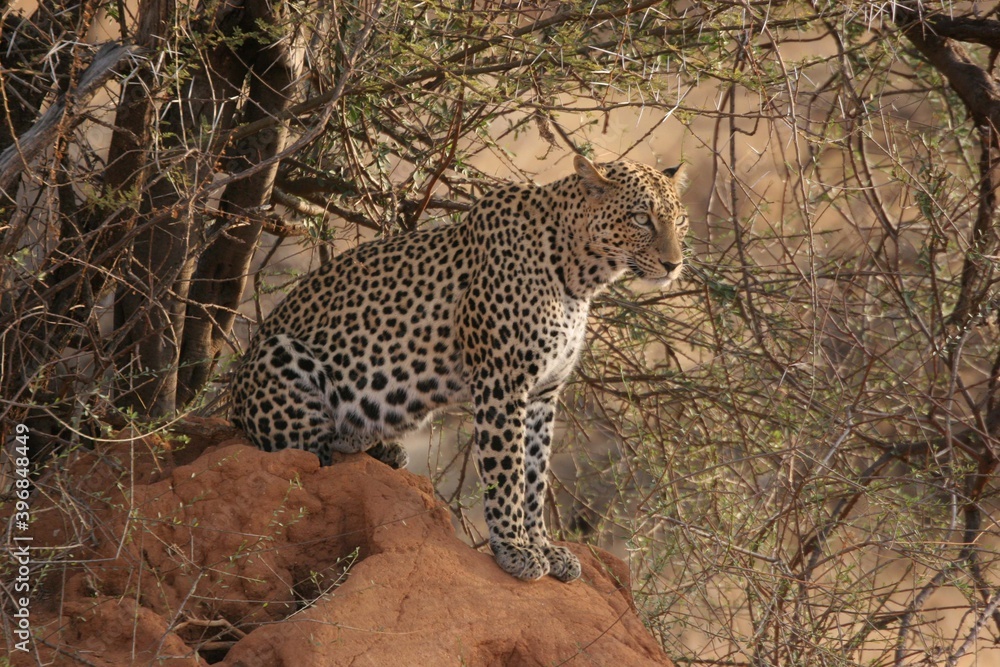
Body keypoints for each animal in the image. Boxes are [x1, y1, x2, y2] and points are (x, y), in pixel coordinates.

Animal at [230, 155, 689, 582]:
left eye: (680, 221)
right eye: (641, 218)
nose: (674, 265)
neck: (579, 276)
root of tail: (232, 404)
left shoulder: (543, 394)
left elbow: (536, 476)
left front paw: (544, 546)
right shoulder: (503, 382)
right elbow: (508, 471)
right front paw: (515, 551)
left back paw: (381, 447)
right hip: (280, 355)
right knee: (309, 456)